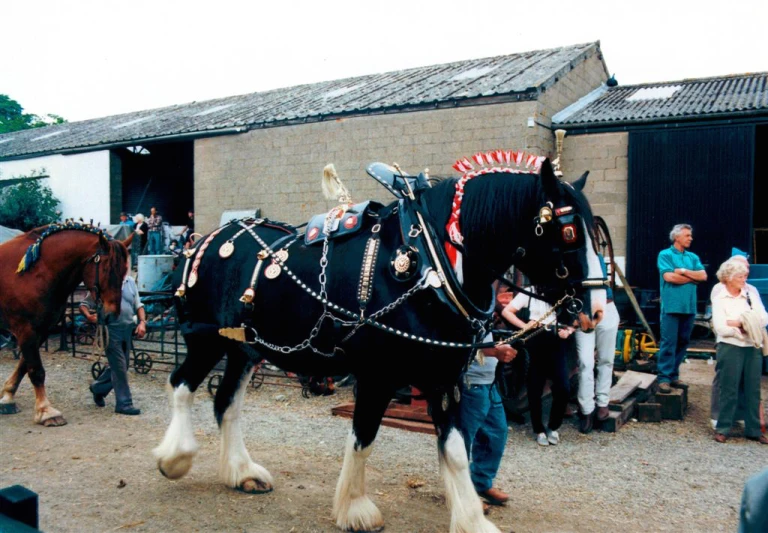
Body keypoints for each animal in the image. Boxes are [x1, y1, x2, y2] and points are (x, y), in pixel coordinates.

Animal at [0, 222, 130, 426]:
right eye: (107, 270)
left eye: (124, 271)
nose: (111, 314)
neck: (34, 272)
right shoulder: (26, 330)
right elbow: (36, 370)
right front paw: (45, 411)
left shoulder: (41, 330)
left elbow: (23, 366)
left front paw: (7, 397)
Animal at [154, 155, 608, 532]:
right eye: (569, 231)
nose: (597, 310)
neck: (429, 266)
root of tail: (209, 238)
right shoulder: (377, 375)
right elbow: (364, 436)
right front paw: (355, 509)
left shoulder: (443, 379)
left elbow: (456, 450)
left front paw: (471, 520)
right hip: (205, 340)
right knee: (182, 384)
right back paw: (175, 458)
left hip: (244, 349)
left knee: (226, 402)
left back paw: (241, 473)